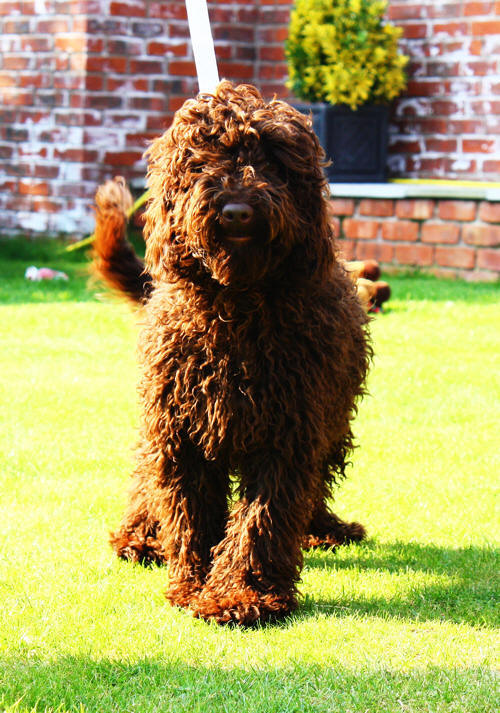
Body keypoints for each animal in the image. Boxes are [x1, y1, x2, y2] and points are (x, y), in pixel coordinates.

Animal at [92, 80, 370, 624]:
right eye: (202, 161)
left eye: (273, 162)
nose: (237, 211)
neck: (237, 309)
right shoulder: (182, 429)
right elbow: (190, 511)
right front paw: (193, 583)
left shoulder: (290, 427)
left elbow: (264, 515)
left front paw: (238, 594)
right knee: (147, 475)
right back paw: (141, 537)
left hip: (329, 420)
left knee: (317, 480)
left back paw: (324, 528)